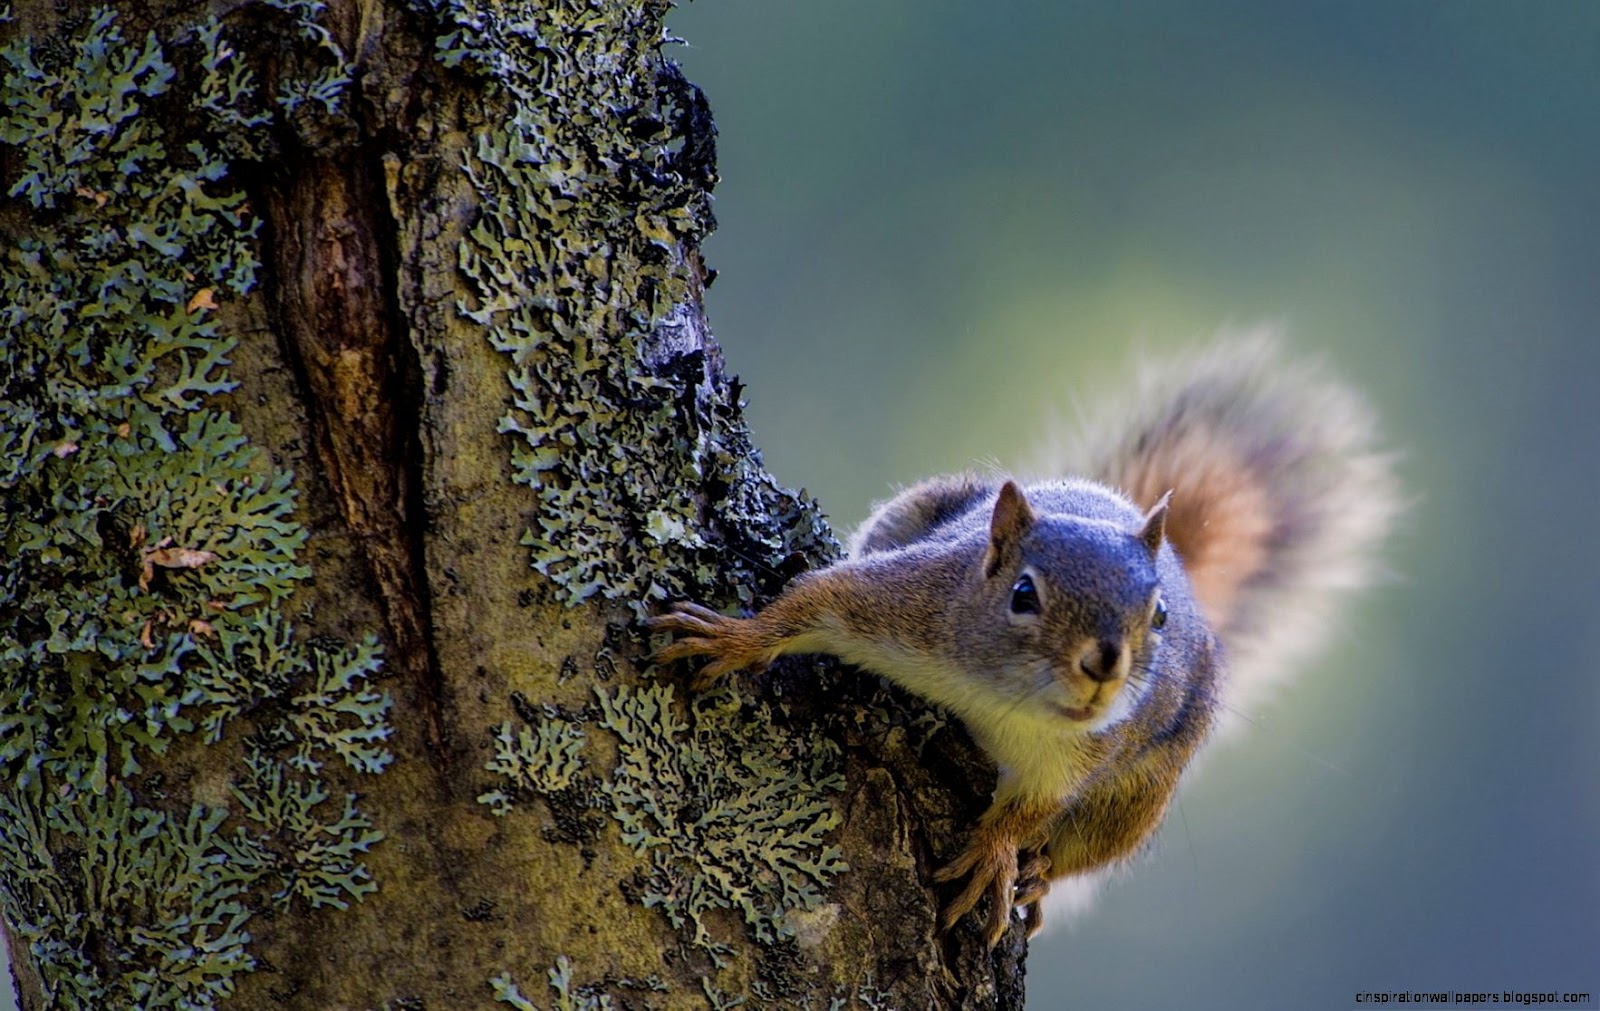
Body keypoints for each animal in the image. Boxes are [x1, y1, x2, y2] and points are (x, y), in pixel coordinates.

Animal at [647, 335, 1401, 949]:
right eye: (1023, 595)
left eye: (1159, 616)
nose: (1104, 664)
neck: (1001, 698)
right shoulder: (907, 603)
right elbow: (818, 599)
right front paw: (735, 637)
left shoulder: (1078, 757)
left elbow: (1033, 807)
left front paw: (996, 855)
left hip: (1142, 794)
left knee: (1082, 849)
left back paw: (1036, 879)